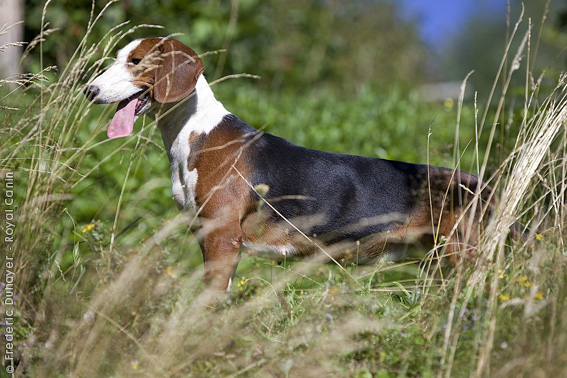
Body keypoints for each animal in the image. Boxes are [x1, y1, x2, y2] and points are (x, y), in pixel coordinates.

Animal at [84, 37, 492, 290]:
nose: (89, 90)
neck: (193, 129)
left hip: (463, 255)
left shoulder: (221, 238)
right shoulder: (209, 237)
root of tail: (479, 183)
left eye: (136, 62)